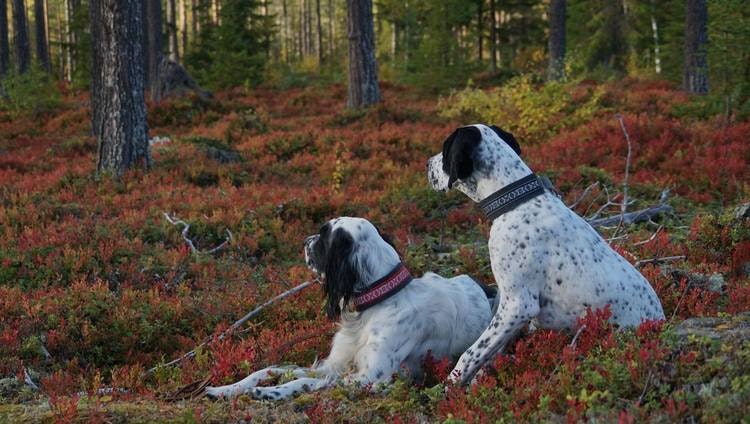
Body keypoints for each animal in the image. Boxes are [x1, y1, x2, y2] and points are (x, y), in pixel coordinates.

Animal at [204, 217, 494, 400]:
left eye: (324, 237)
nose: (305, 240)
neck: (375, 305)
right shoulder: (334, 365)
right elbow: (266, 370)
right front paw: (225, 389)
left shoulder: (373, 379)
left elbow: (306, 382)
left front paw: (271, 392)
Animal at [426, 124, 668, 386]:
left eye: (445, 149)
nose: (426, 164)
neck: (517, 202)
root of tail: (661, 325)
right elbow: (489, 353)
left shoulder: (518, 305)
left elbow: (471, 354)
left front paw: (447, 389)